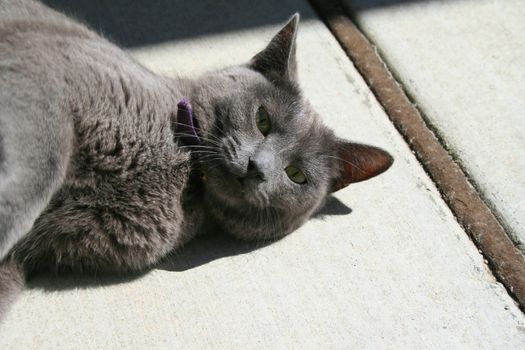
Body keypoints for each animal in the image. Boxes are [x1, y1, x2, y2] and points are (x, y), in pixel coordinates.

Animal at [0, 0, 390, 318]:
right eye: (262, 120)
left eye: (296, 175)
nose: (257, 168)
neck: (186, 174)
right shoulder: (44, 74)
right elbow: (42, 170)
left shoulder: (24, 258)